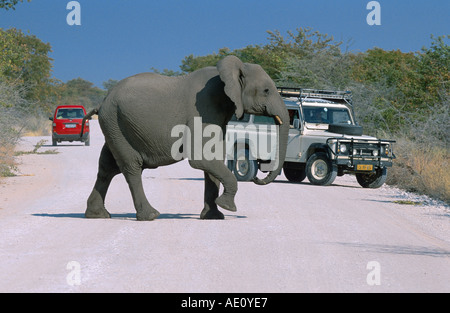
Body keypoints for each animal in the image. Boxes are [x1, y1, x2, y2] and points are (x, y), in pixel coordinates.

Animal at [82, 55, 290, 219]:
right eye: (266, 91)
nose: (257, 179)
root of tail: (102, 101)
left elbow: (213, 156)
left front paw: (214, 216)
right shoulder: (203, 108)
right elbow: (200, 158)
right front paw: (227, 206)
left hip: (115, 125)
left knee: (107, 167)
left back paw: (97, 215)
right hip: (116, 122)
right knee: (131, 167)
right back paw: (150, 215)